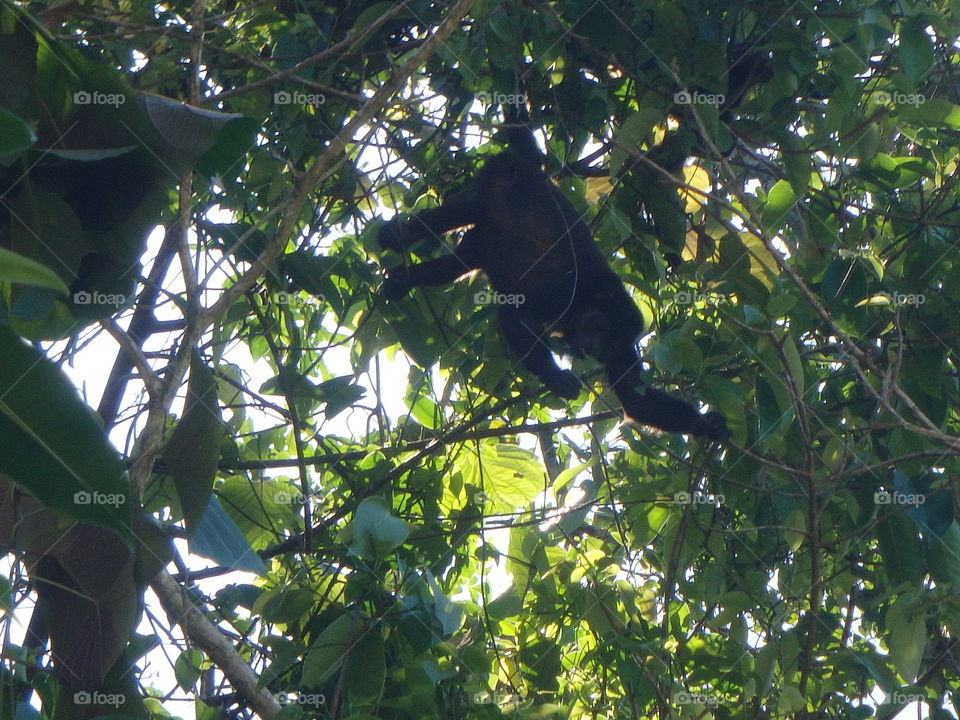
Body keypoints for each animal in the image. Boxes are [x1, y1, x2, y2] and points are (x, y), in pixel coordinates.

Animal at [378, 111, 728, 441]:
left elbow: (635, 399)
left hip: (484, 238)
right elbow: (515, 314)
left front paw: (706, 424)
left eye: (607, 345)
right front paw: (557, 379)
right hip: (497, 178)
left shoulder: (626, 342)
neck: (597, 297)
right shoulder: (568, 287)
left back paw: (400, 280)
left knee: (457, 264)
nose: (593, 349)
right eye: (599, 328)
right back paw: (396, 235)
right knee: (461, 211)